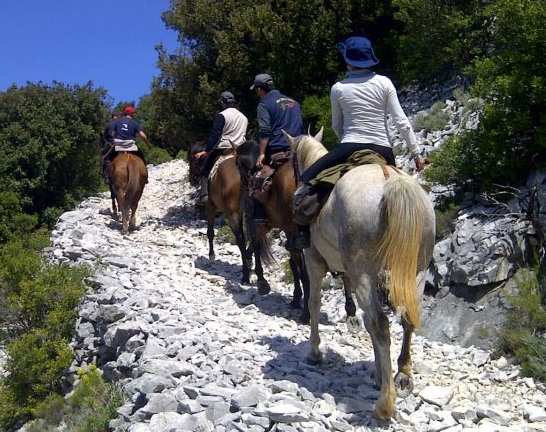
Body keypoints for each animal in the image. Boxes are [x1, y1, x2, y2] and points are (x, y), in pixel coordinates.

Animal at [188, 142, 252, 284]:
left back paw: (245, 275)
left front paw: (211, 256)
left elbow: (210, 232)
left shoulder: (210, 207)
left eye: (190, 161)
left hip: (232, 214)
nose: (191, 180)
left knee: (240, 238)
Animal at [284, 130, 434, 420]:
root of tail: (390, 180)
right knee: (406, 320)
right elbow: (364, 320)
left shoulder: (313, 261)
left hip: (364, 273)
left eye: (292, 161)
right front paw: (378, 372)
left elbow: (314, 303)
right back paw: (402, 376)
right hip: (416, 273)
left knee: (381, 325)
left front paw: (314, 352)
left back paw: (384, 404)